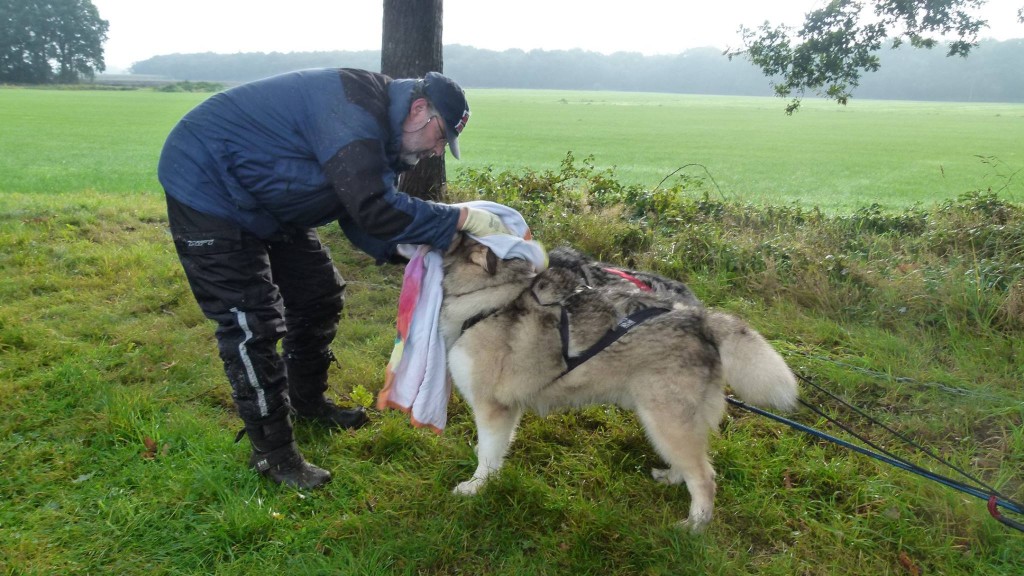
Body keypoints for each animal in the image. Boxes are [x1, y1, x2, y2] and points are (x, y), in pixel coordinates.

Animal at [436, 235, 794, 532]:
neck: (490, 299)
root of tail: (700, 319)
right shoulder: (508, 411)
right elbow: (493, 450)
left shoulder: (492, 407)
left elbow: (487, 458)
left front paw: (475, 487)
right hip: (669, 422)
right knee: (691, 465)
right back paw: (671, 478)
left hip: (666, 421)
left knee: (705, 477)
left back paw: (694, 527)